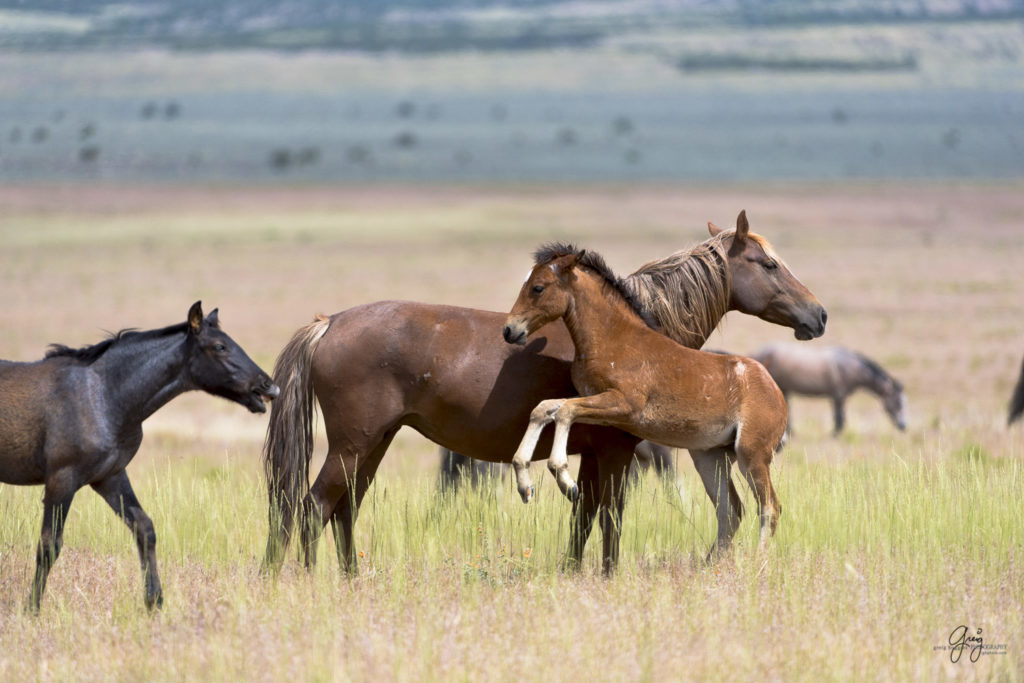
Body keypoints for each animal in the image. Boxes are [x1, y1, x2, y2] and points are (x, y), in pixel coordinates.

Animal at [0, 301, 280, 610]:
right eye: (219, 346)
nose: (269, 387)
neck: (103, 397)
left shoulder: (109, 477)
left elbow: (145, 529)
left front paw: (154, 601)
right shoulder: (61, 479)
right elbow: (49, 545)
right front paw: (32, 608)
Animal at [753, 344, 905, 436]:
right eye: (898, 402)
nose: (904, 426)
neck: (851, 367)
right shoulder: (838, 395)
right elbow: (839, 417)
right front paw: (835, 434)